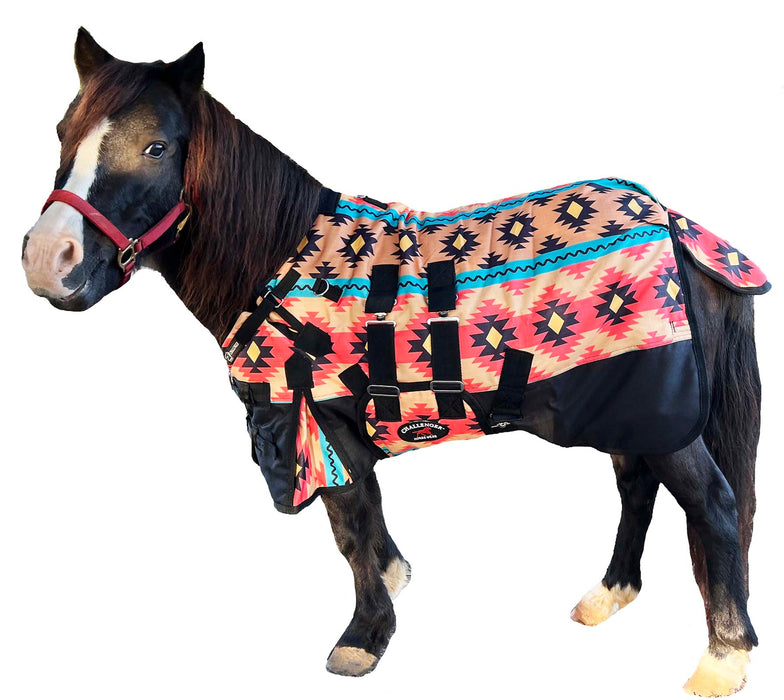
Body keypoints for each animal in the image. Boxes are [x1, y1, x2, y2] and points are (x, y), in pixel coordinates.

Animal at [21, 29, 766, 696]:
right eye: (62, 132)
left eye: (156, 146)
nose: (46, 259)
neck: (281, 263)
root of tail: (672, 222)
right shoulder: (337, 432)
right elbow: (365, 523)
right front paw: (390, 587)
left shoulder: (320, 425)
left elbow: (349, 529)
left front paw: (363, 638)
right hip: (622, 413)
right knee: (637, 489)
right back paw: (608, 595)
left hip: (658, 415)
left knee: (714, 504)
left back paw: (723, 659)